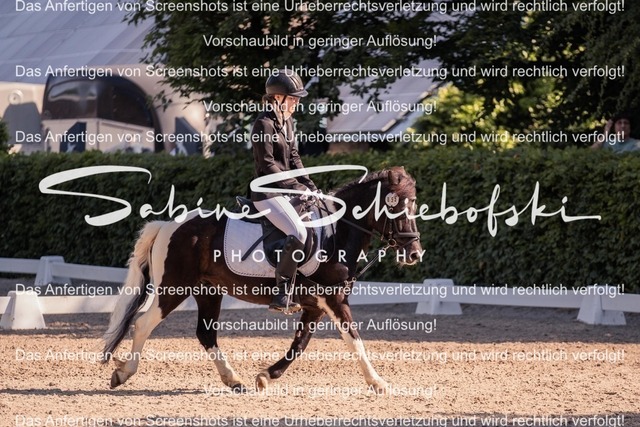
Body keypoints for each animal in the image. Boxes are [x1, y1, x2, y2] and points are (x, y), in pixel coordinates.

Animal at [101, 166, 423, 394]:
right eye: (395, 206)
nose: (415, 253)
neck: (336, 232)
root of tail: (168, 225)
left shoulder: (315, 305)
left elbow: (299, 345)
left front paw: (266, 376)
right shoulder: (334, 300)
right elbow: (354, 340)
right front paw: (378, 382)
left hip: (208, 291)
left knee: (206, 333)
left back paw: (234, 380)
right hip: (173, 288)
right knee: (143, 324)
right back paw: (123, 373)